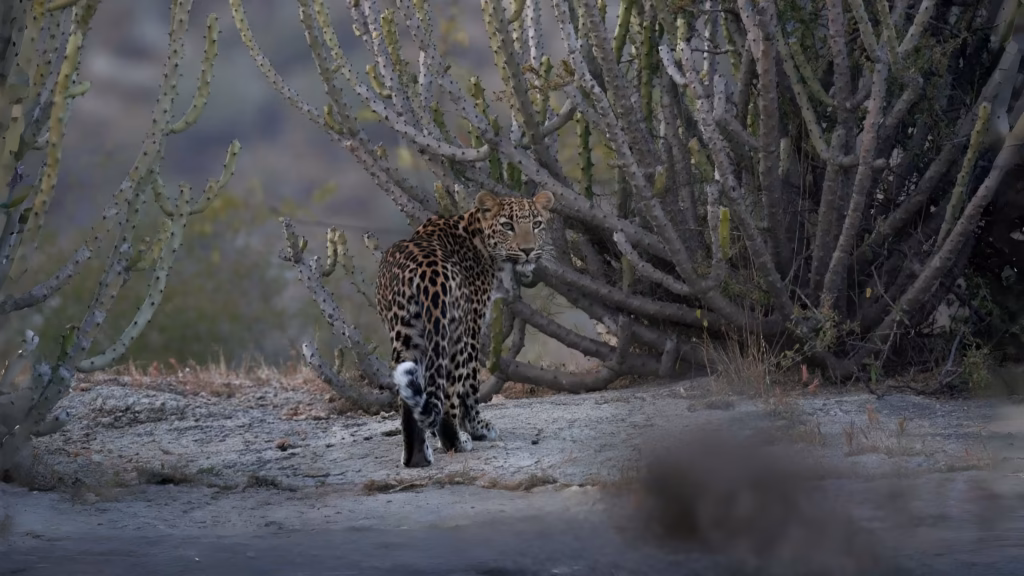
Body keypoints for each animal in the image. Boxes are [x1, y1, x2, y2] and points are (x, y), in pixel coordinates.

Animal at [375, 189, 555, 467]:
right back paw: (458, 441)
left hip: (407, 334)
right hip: (455, 334)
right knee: (450, 393)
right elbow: (471, 385)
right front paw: (478, 428)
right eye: (507, 226)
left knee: (409, 400)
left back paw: (417, 457)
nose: (528, 250)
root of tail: (429, 273)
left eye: (536, 224)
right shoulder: (474, 323)